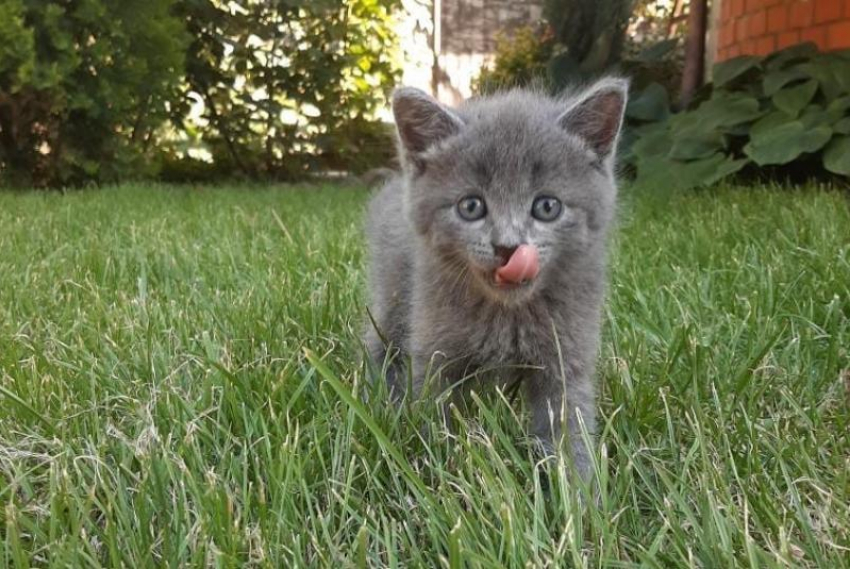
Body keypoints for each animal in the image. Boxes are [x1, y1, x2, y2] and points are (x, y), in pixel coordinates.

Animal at [362, 76, 628, 474]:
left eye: (547, 207)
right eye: (471, 206)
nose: (508, 247)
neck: (506, 315)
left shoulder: (566, 357)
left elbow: (570, 428)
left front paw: (577, 489)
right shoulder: (436, 350)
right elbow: (434, 416)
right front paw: (437, 471)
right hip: (392, 293)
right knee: (381, 342)